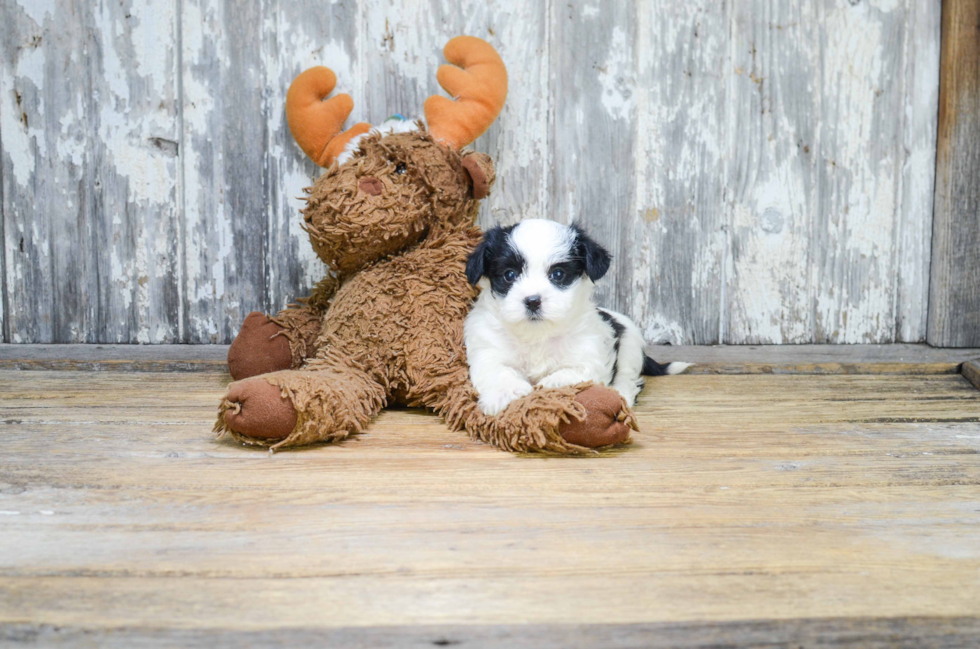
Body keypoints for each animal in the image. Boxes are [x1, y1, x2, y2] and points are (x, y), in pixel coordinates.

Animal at [466, 219, 688, 416]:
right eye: (509, 275)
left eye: (557, 274)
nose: (532, 301)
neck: (537, 335)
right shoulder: (488, 351)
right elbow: (498, 371)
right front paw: (505, 393)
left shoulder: (589, 355)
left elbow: (575, 372)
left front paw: (552, 383)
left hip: (629, 345)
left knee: (628, 377)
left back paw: (621, 394)